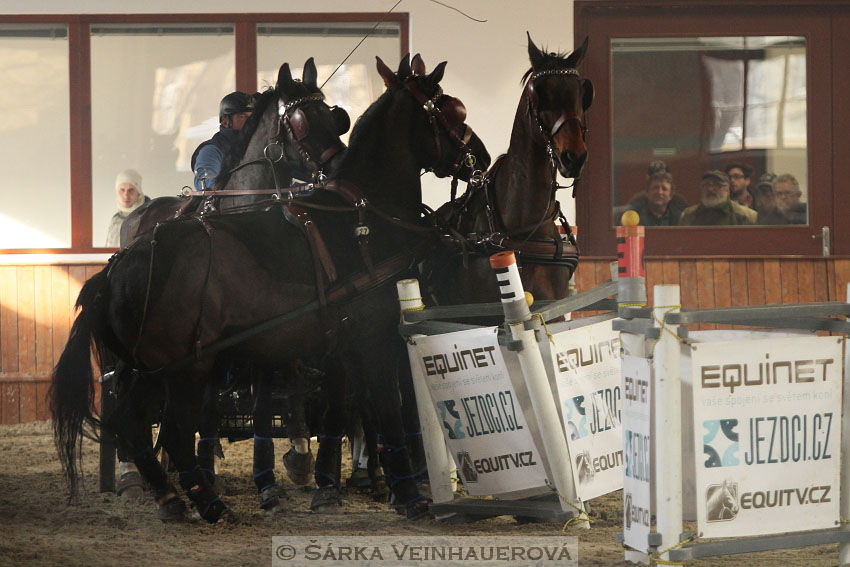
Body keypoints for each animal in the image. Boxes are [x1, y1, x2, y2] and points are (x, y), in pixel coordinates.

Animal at [51, 53, 490, 524]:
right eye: (453, 111)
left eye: (336, 118)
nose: (482, 158)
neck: (365, 218)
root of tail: (118, 263)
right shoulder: (373, 338)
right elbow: (388, 412)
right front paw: (408, 495)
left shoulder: (340, 348)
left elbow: (350, 413)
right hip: (181, 366)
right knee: (165, 431)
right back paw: (206, 501)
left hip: (151, 369)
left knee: (135, 427)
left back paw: (175, 497)